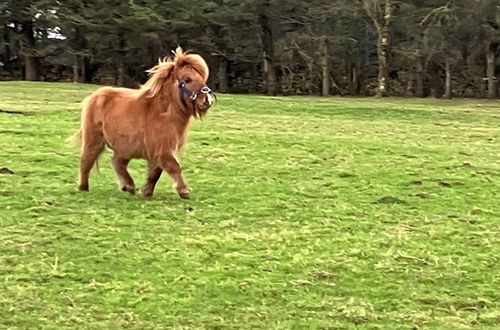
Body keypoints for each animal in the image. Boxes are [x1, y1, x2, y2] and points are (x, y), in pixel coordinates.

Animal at [73, 47, 214, 199]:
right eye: (187, 79)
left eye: (202, 78)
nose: (207, 99)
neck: (164, 113)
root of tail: (95, 95)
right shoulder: (162, 149)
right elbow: (174, 167)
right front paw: (184, 191)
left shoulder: (157, 152)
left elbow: (155, 173)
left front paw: (147, 192)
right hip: (94, 139)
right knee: (87, 159)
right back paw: (83, 187)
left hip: (124, 147)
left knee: (117, 162)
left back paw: (128, 186)